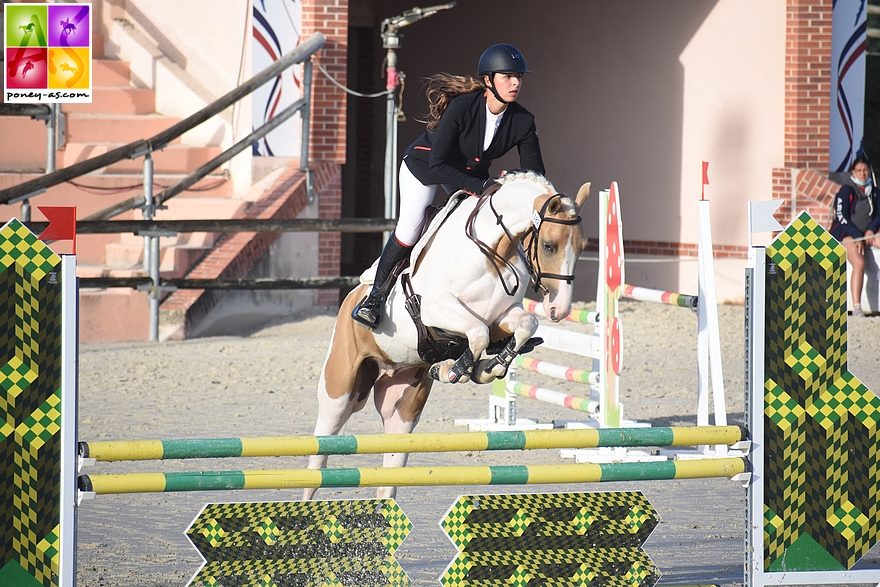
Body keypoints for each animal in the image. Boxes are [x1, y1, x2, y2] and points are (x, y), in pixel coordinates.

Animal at [304, 171, 592, 500]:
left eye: (583, 245)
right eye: (548, 245)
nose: (560, 309)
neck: (494, 251)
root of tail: (351, 298)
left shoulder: (501, 316)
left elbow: (524, 324)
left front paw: (487, 368)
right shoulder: (436, 310)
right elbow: (477, 335)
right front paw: (456, 369)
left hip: (403, 409)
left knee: (389, 475)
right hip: (339, 393)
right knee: (318, 458)